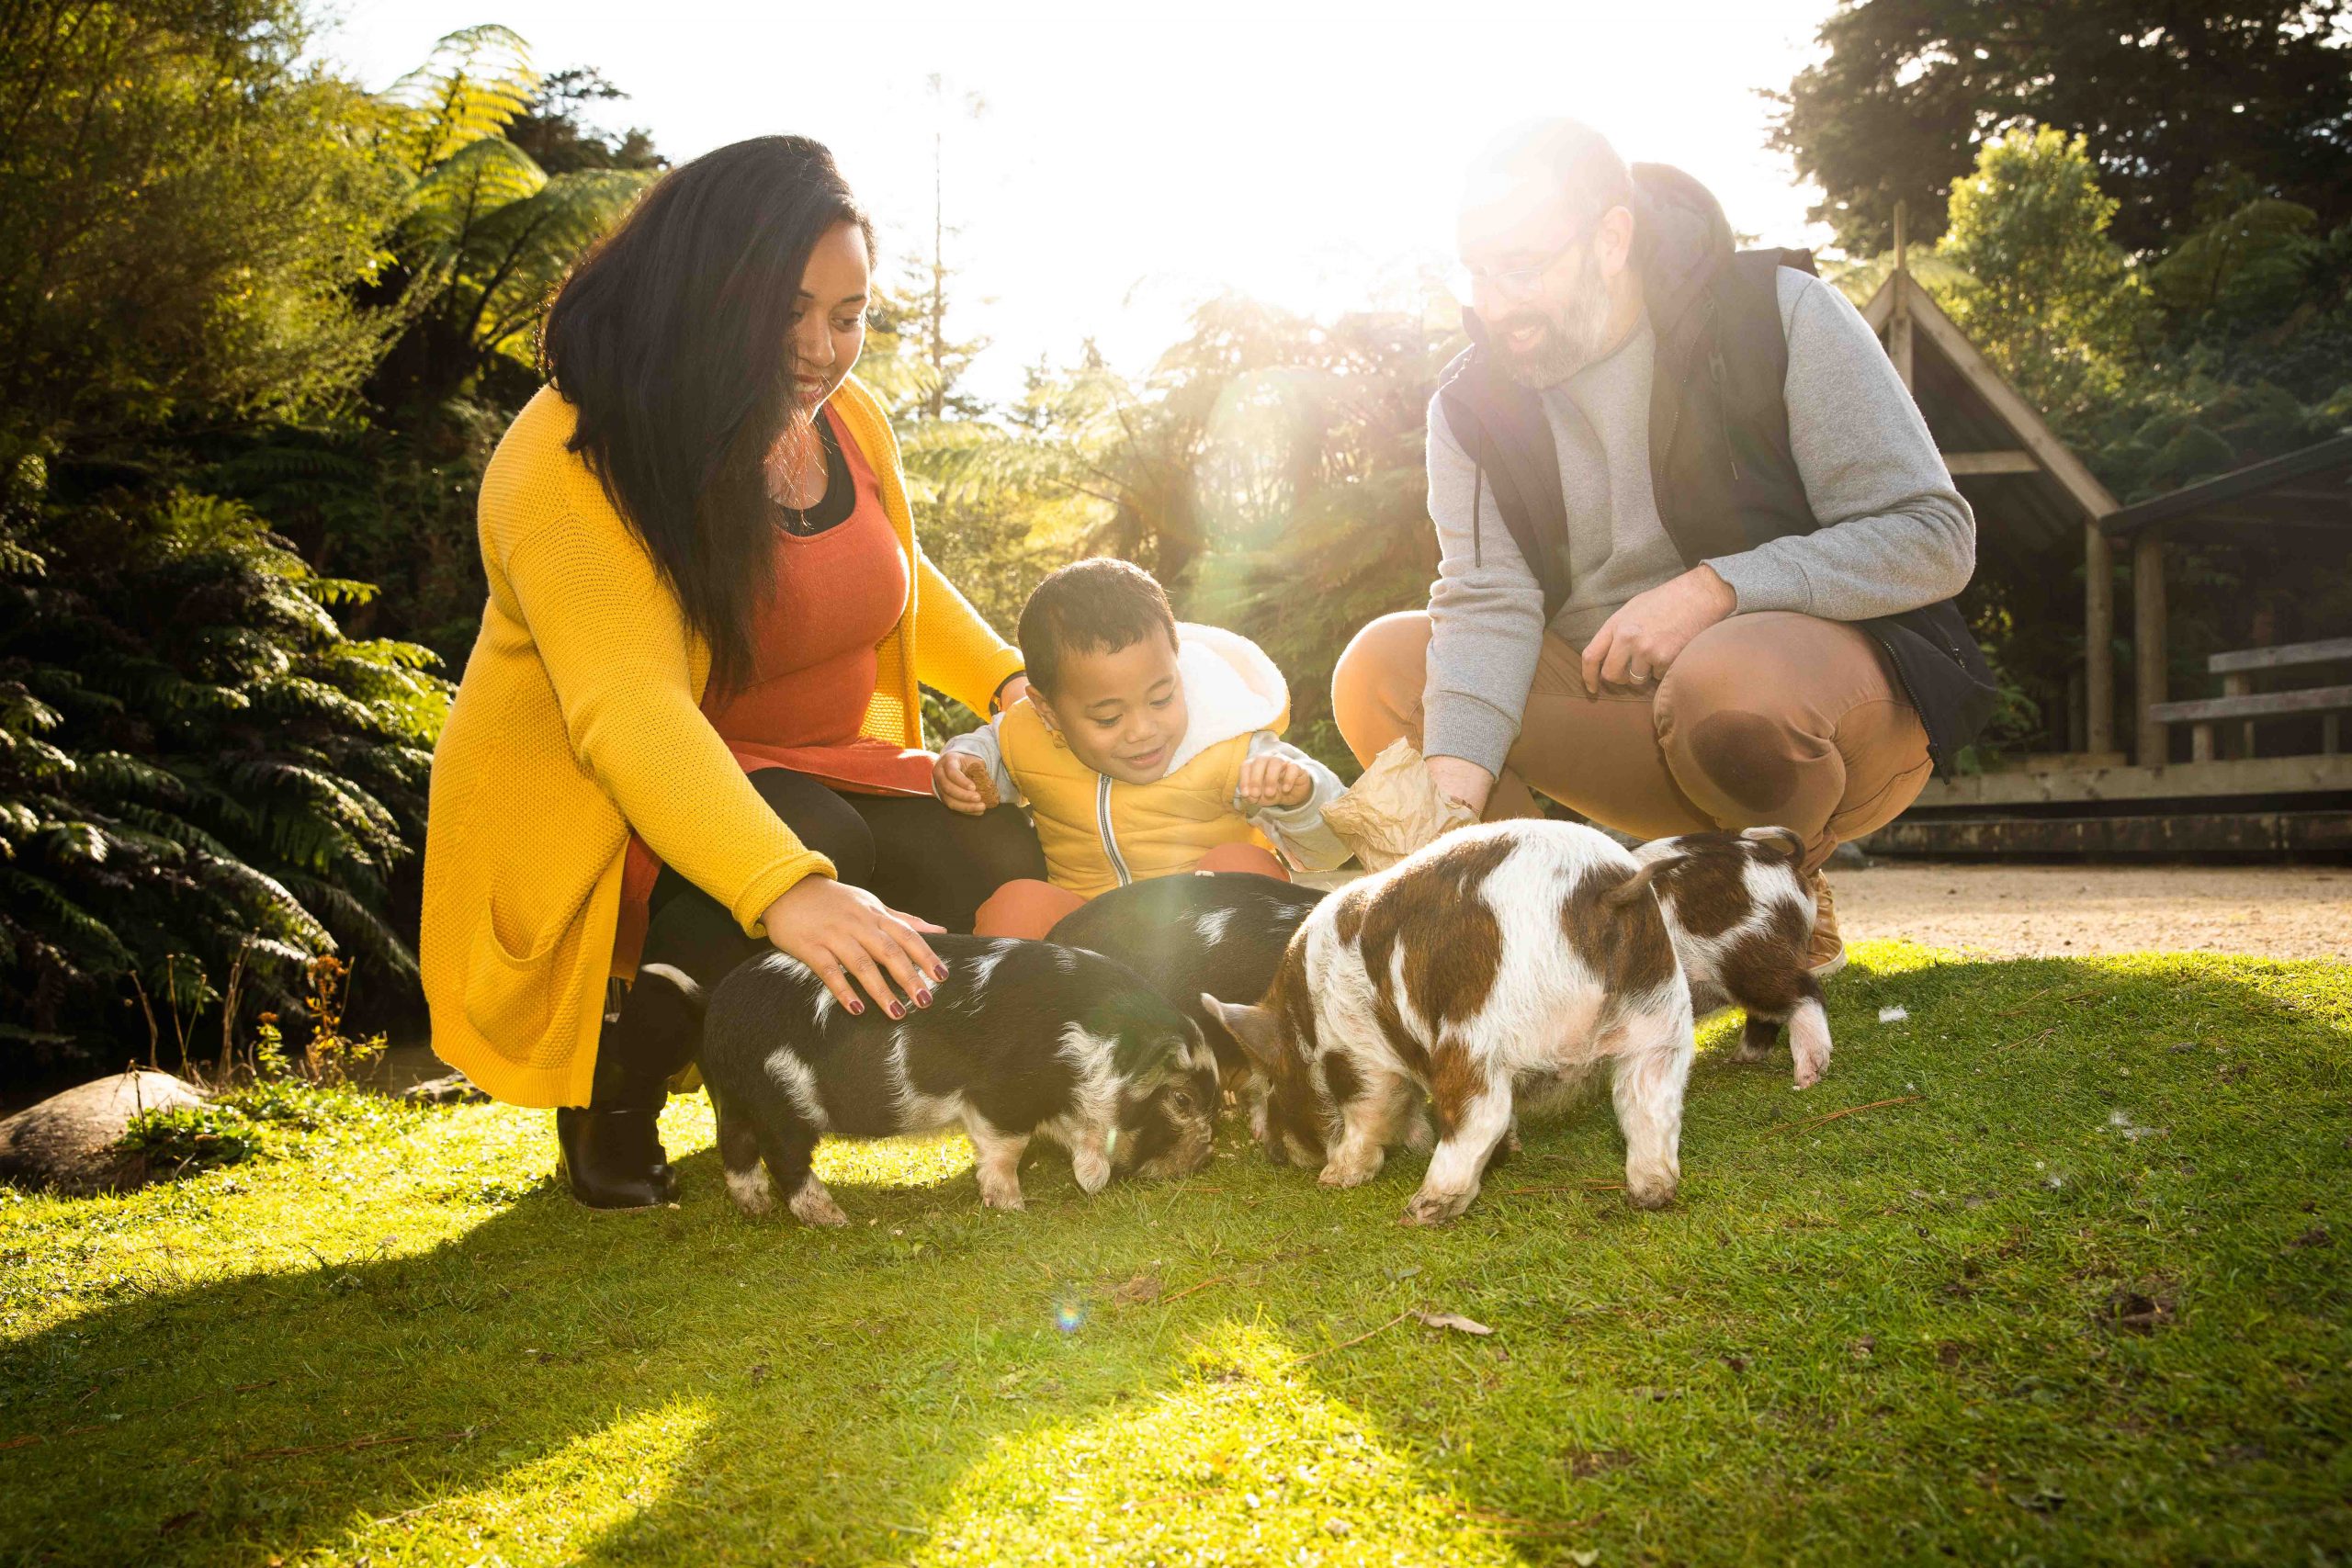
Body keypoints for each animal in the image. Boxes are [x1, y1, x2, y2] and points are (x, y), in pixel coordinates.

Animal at [682, 931, 1223, 1222]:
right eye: (1182, 1101)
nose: (1205, 1156)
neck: (1088, 1045)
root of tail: (717, 1007)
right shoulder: (1001, 1095)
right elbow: (1006, 1148)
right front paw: (1013, 1206)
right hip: (781, 1101)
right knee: (783, 1156)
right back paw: (833, 1219)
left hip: (738, 1099)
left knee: (735, 1149)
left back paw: (755, 1208)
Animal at [1194, 818, 1693, 1232]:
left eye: (1273, 1083)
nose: (1275, 1155)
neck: (1304, 1020)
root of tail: (1603, 892)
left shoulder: (1360, 1050)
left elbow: (1368, 1110)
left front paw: (1335, 1179)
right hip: (1661, 1020)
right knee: (1648, 1103)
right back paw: (1651, 1194)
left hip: (1474, 1031)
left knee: (1480, 1115)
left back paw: (1421, 1211)